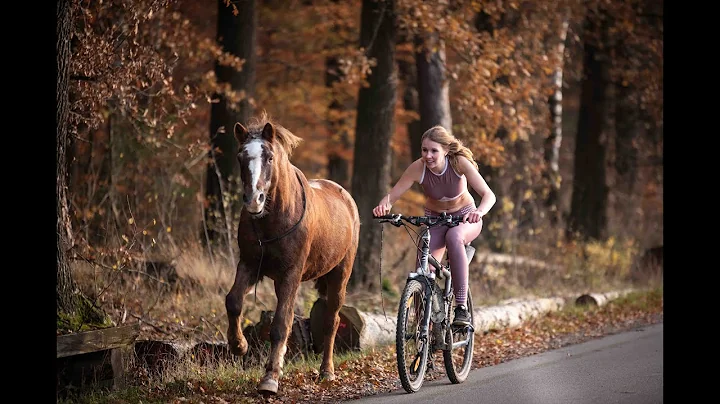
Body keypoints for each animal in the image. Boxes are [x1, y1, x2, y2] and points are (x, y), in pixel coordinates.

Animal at [225, 113, 360, 394]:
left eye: (269, 157)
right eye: (241, 156)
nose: (254, 199)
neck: (274, 218)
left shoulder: (291, 274)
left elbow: (280, 324)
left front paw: (270, 378)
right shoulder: (250, 265)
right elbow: (233, 301)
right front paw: (239, 345)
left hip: (340, 274)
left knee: (331, 321)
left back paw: (326, 372)